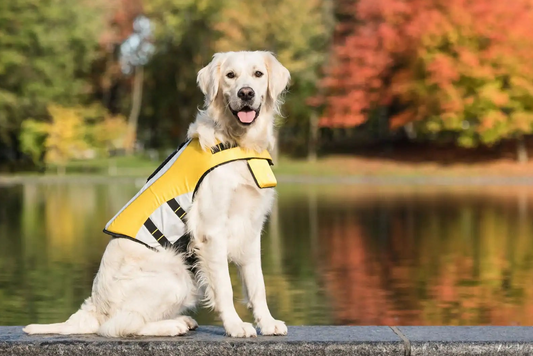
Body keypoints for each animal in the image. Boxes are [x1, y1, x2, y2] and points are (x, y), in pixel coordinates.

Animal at [22, 50, 290, 336]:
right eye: (230, 75)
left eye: (258, 74)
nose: (246, 93)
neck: (236, 144)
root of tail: (95, 307)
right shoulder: (211, 231)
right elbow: (224, 289)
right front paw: (236, 325)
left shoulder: (251, 228)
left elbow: (257, 284)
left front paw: (268, 322)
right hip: (177, 275)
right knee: (118, 325)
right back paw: (174, 325)